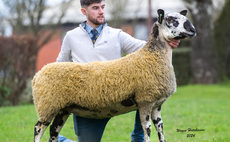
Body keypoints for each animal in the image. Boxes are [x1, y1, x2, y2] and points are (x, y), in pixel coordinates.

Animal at [32, 9, 196, 142]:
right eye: (170, 19)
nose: (193, 30)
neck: (153, 56)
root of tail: (37, 74)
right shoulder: (145, 100)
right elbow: (147, 129)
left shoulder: (157, 104)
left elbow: (160, 129)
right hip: (47, 105)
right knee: (38, 129)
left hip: (62, 108)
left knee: (53, 132)